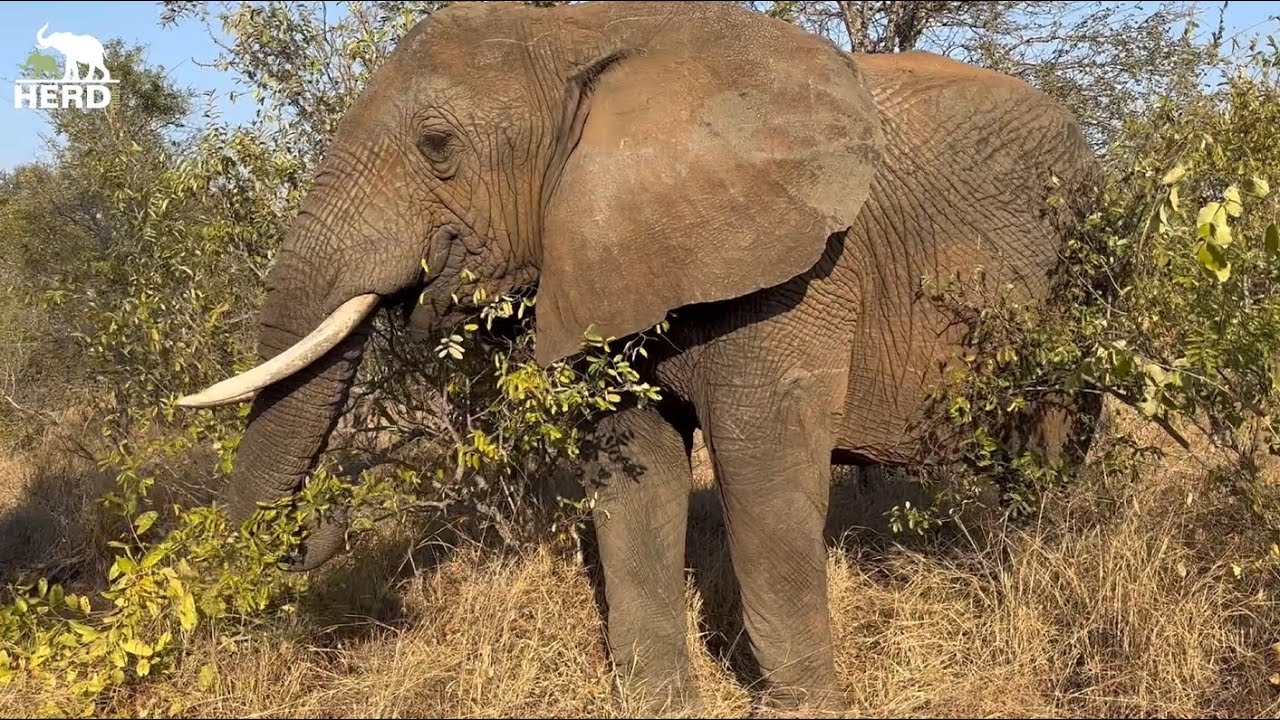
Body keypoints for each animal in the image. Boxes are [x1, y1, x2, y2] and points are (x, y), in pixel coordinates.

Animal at [175, 1, 1101, 714]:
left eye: (437, 145)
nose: (326, 522)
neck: (586, 38)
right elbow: (634, 467)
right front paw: (662, 706)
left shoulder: (799, 268)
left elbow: (762, 470)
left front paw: (799, 711)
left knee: (1053, 442)